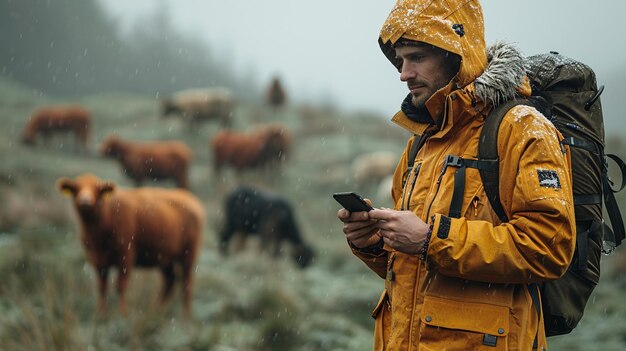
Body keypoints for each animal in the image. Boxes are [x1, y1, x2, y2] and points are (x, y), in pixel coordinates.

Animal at [55, 174, 202, 320]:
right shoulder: (97, 260)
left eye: (97, 190)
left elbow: (120, 286)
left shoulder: (126, 256)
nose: (85, 201)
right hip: (165, 259)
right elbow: (102, 287)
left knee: (186, 284)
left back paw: (185, 316)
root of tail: (189, 199)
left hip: (188, 255)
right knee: (170, 281)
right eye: (76, 189)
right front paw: (101, 313)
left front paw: (122, 313)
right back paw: (156, 311)